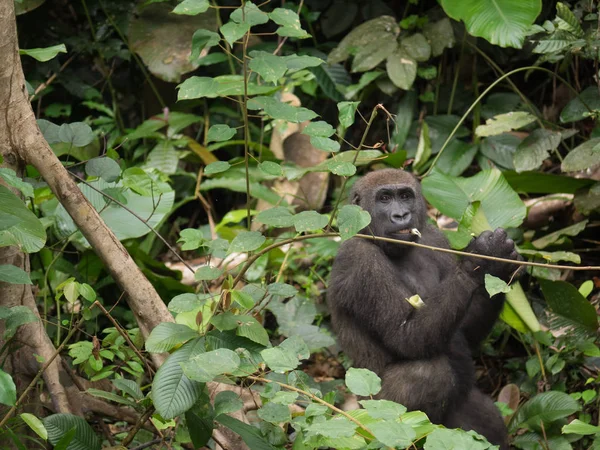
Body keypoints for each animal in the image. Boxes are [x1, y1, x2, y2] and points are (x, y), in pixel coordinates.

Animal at [328, 168, 520, 446]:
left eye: (405, 196)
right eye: (384, 198)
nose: (401, 216)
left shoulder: (435, 238)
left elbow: (464, 330)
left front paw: (498, 267)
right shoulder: (359, 258)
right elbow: (406, 336)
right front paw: (484, 257)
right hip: (370, 417)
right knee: (427, 373)